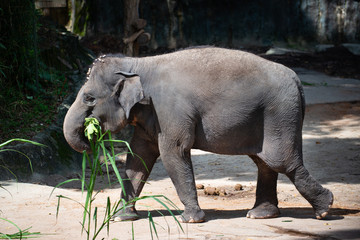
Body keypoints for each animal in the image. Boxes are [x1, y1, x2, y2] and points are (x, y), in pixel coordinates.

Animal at [63, 47, 334, 223]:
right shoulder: (150, 116)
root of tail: (297, 79)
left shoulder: (168, 111)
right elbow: (138, 160)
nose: (89, 139)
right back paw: (260, 214)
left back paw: (324, 209)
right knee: (264, 161)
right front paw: (121, 218)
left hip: (279, 114)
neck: (137, 64)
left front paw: (190, 220)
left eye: (89, 98)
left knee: (281, 161)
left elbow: (173, 153)